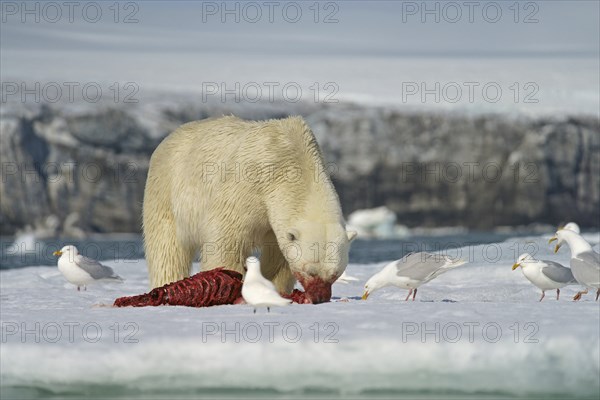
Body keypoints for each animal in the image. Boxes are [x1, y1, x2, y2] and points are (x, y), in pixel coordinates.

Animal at [143, 115, 356, 304]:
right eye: (311, 271)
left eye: (335, 274)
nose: (320, 298)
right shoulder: (246, 188)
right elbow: (227, 240)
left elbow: (278, 256)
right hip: (166, 191)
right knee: (166, 248)